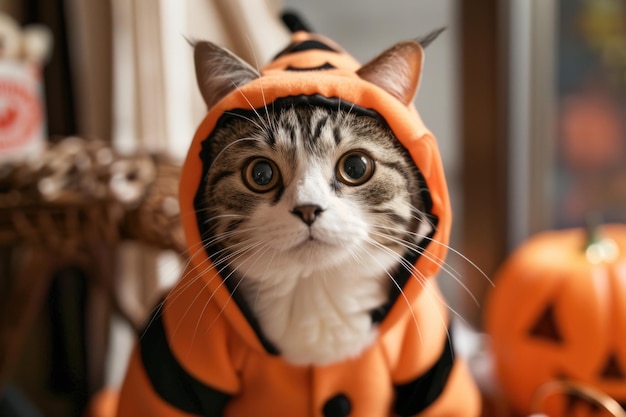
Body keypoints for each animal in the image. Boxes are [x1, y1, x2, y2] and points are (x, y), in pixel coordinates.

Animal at [114, 22, 480, 416]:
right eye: (260, 173)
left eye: (356, 167)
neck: (313, 293)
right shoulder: (179, 348)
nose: (308, 208)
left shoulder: (428, 351)